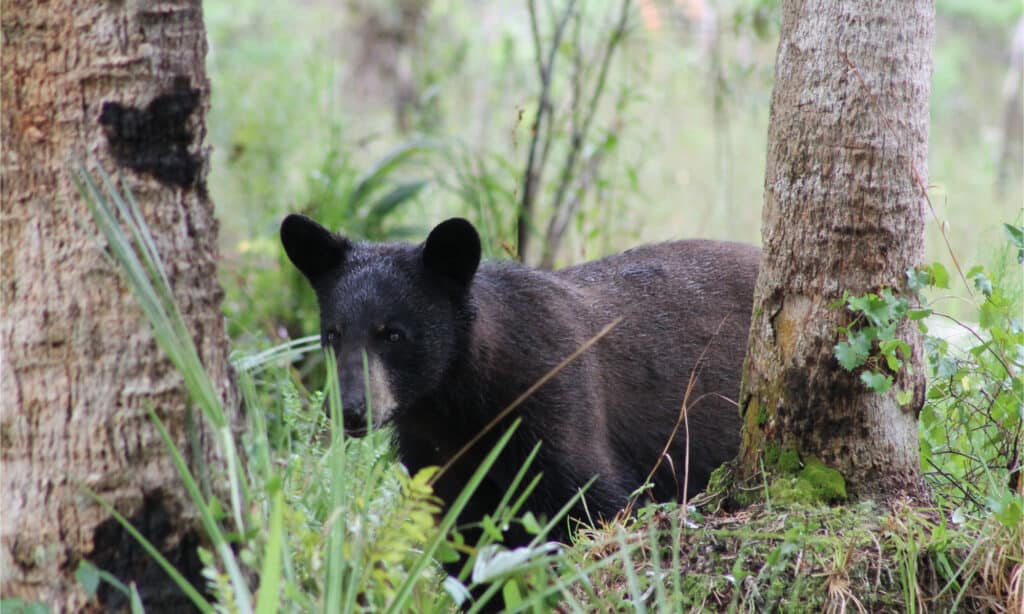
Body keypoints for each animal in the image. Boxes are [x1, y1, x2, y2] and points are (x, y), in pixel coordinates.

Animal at [280, 215, 761, 548]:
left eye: (393, 334)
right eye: (333, 334)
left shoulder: (555, 407)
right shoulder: (436, 457)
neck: (453, 408)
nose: (350, 409)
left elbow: (597, 505)